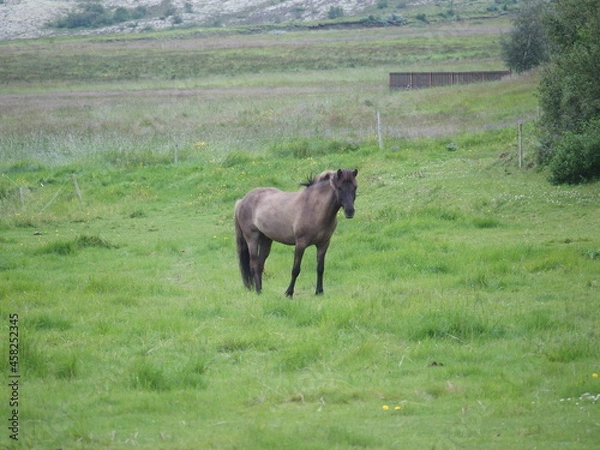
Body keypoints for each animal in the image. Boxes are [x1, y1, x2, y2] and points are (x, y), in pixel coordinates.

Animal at [233, 167, 356, 298]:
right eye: (339, 187)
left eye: (355, 187)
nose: (350, 211)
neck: (314, 207)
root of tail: (242, 201)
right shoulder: (300, 244)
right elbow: (295, 269)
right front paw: (289, 293)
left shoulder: (323, 244)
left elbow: (320, 268)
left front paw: (319, 292)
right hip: (252, 238)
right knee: (254, 264)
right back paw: (258, 291)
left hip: (266, 240)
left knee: (260, 264)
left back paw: (261, 290)